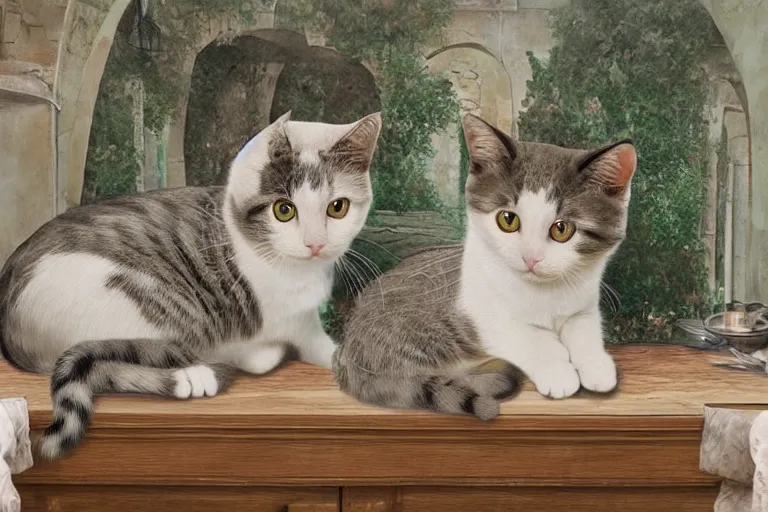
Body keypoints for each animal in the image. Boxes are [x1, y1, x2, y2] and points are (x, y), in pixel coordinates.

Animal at [0, 110, 382, 458]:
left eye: (337, 207)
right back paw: (193, 376)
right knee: (101, 361)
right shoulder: (282, 320)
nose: (315, 243)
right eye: (284, 210)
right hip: (157, 305)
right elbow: (312, 349)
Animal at [332, 113, 640, 420]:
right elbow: (528, 336)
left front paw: (596, 365)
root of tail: (348, 351)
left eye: (562, 229)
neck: (544, 293)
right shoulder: (480, 312)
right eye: (508, 219)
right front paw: (557, 370)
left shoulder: (583, 301)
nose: (530, 257)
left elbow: (584, 328)